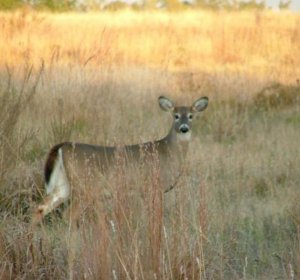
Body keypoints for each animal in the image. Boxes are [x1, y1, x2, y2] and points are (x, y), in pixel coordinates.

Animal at [31, 95, 207, 224]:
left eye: (191, 116)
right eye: (176, 116)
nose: (184, 128)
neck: (167, 151)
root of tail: (63, 146)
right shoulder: (153, 186)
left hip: (63, 184)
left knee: (40, 207)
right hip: (86, 185)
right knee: (68, 214)